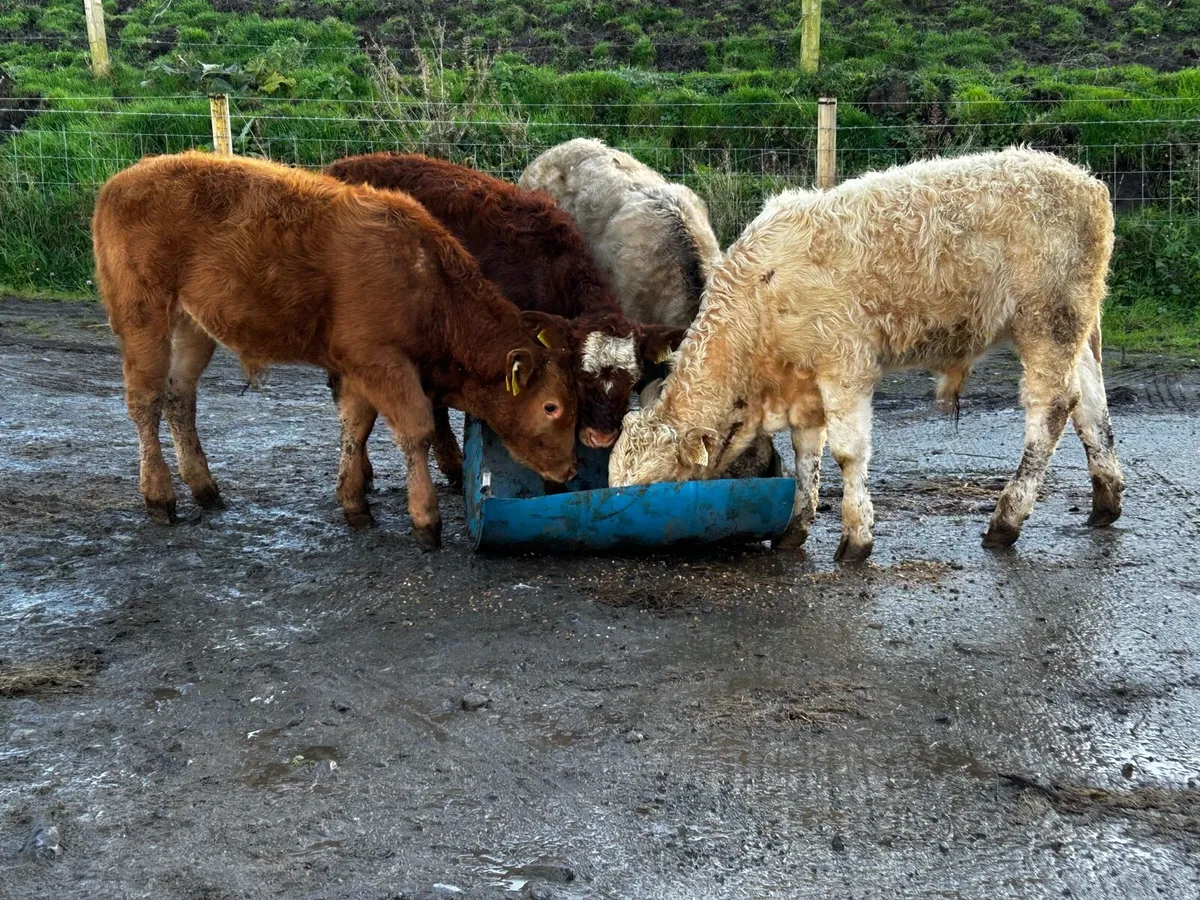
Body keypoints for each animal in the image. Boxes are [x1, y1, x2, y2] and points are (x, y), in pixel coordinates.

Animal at [93, 151, 579, 550]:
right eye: (551, 406)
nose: (571, 471)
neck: (425, 278)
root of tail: (120, 180)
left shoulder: (358, 366)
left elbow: (355, 429)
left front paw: (354, 502)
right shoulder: (383, 362)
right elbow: (416, 430)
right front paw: (425, 520)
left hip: (194, 327)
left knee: (179, 398)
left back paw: (205, 489)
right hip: (143, 319)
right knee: (145, 402)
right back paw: (159, 496)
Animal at [609, 148, 1124, 561]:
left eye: (651, 488)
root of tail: (1084, 179)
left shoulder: (845, 365)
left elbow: (847, 453)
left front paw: (856, 538)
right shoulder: (803, 386)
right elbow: (806, 455)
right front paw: (794, 528)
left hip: (1046, 322)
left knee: (1051, 409)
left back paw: (1006, 520)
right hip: (1075, 328)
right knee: (1091, 406)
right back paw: (1106, 500)